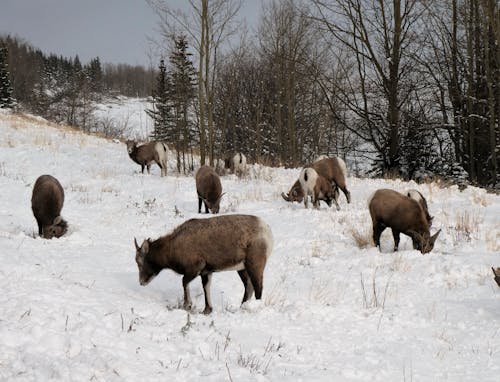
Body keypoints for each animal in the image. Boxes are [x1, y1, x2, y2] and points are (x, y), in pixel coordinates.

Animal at [134, 213, 274, 314]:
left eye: (140, 262)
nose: (141, 282)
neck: (172, 248)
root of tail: (267, 231)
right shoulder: (206, 272)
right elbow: (206, 288)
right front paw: (207, 310)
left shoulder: (194, 268)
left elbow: (184, 282)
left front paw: (188, 305)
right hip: (242, 269)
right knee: (249, 288)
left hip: (254, 265)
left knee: (258, 288)